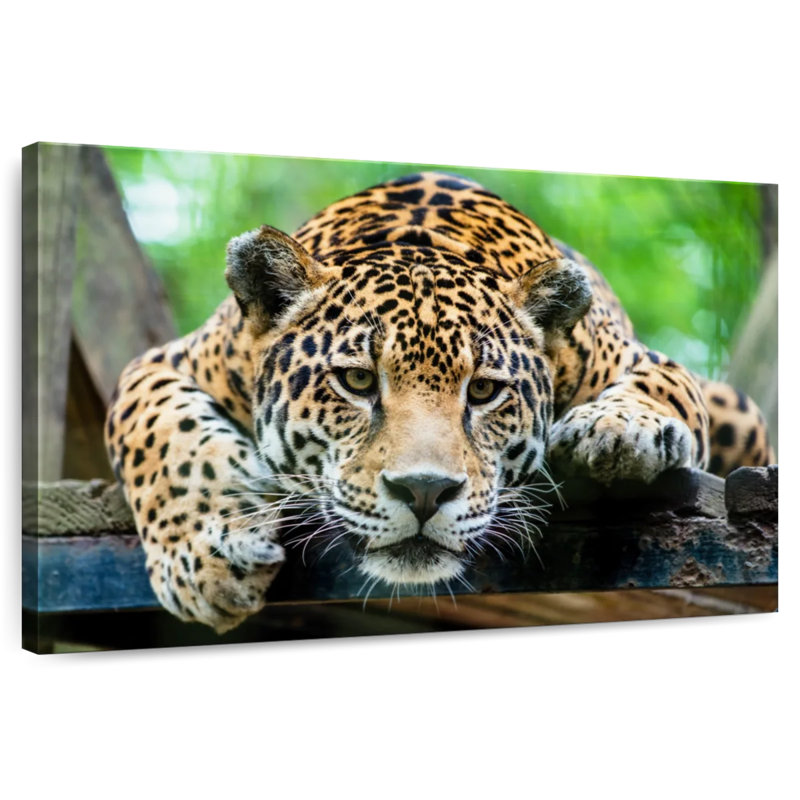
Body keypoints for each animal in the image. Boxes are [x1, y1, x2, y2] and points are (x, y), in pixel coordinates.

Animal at [105, 171, 774, 632]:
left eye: (482, 391)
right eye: (357, 382)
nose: (424, 492)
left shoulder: (641, 359)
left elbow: (664, 388)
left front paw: (617, 430)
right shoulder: (162, 363)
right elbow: (163, 439)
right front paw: (205, 561)